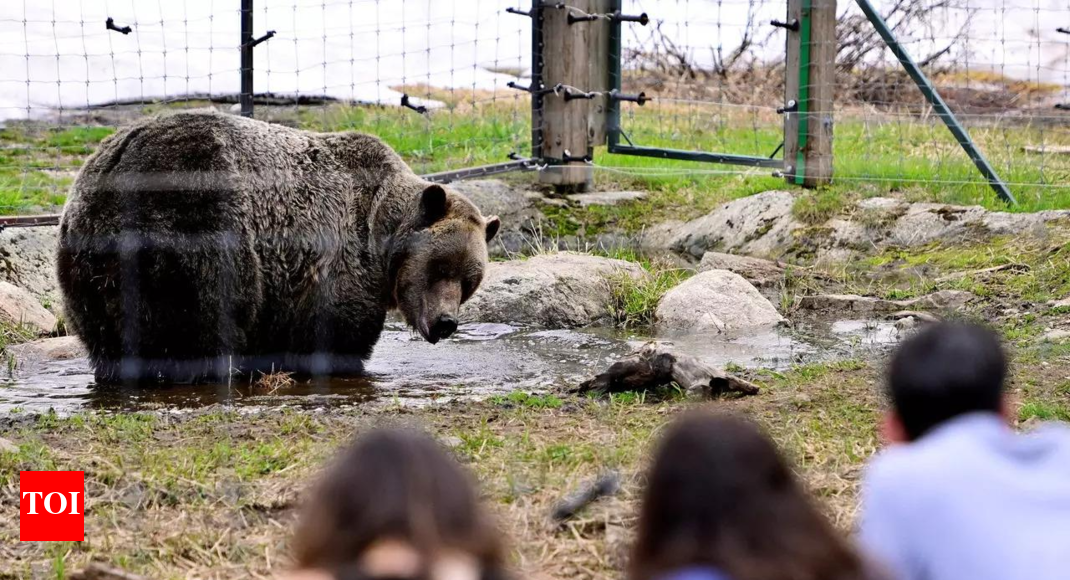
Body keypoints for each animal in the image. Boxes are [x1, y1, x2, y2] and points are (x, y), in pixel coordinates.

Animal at [57, 109, 500, 384]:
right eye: (439, 267)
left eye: (469, 280)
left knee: (106, 339)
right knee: (203, 320)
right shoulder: (336, 262)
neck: (380, 235)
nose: (446, 322)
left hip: (87, 263)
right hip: (192, 224)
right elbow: (336, 333)